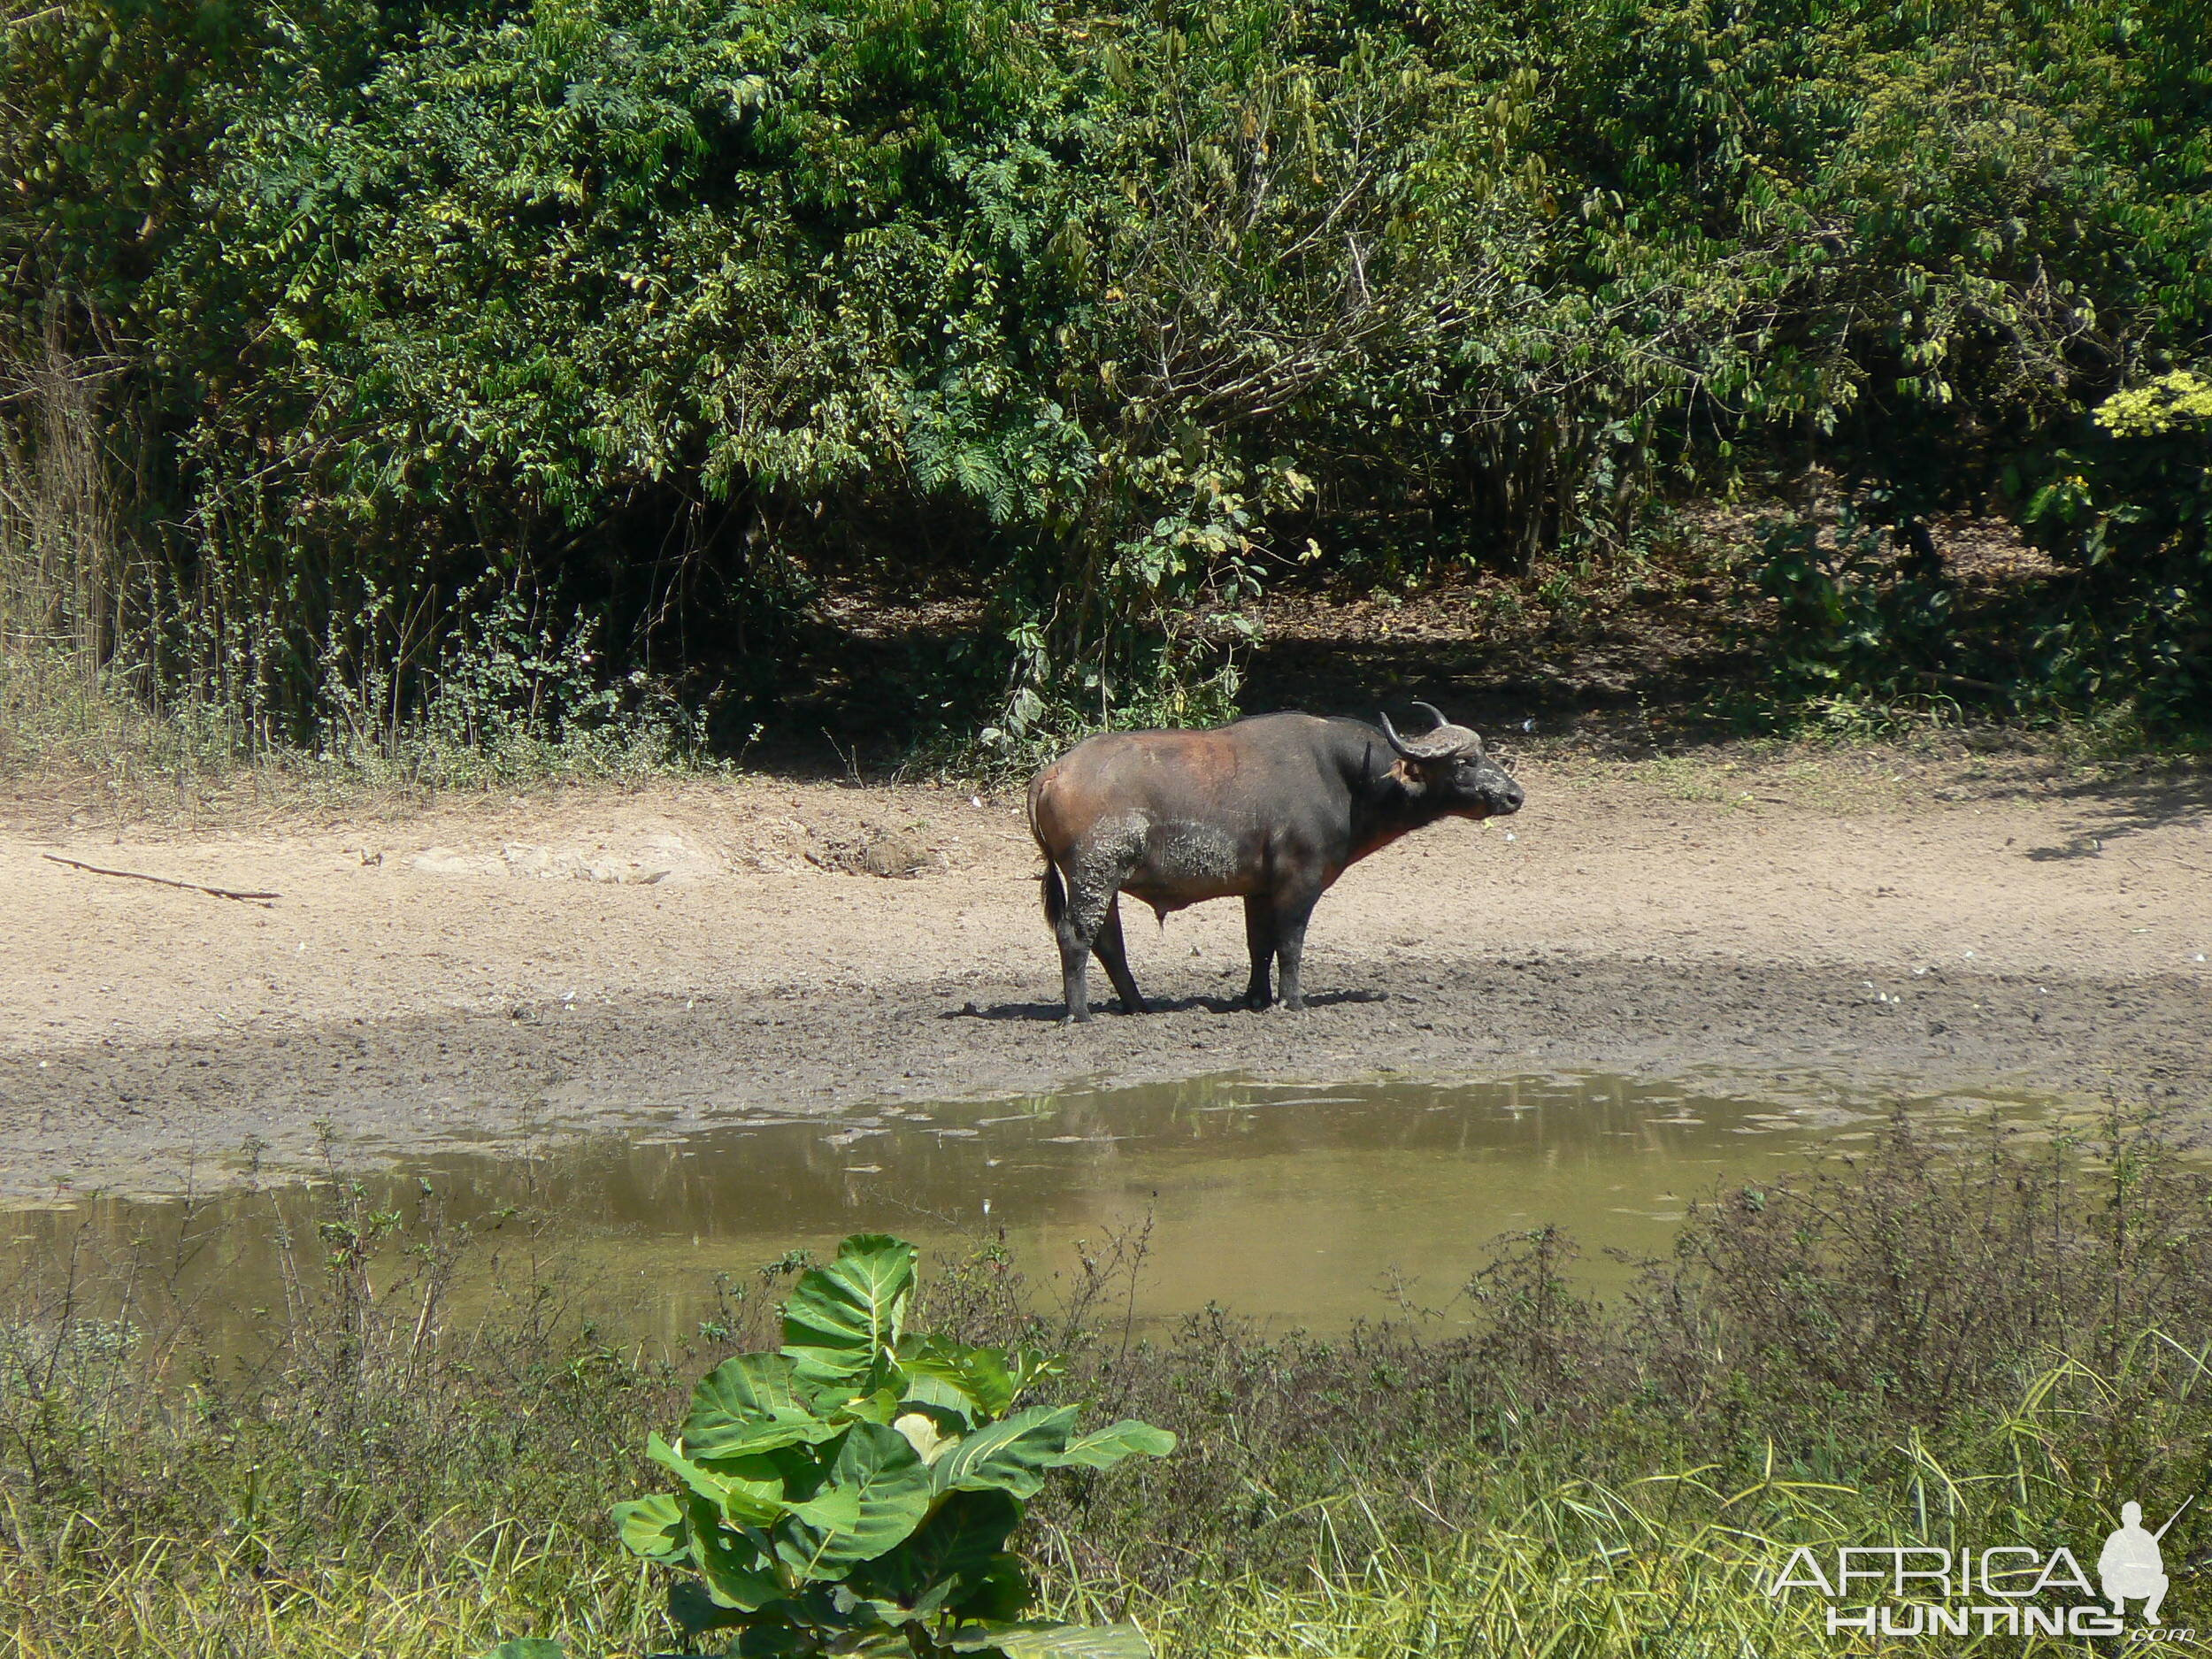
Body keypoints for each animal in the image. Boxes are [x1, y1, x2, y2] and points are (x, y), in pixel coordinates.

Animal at [1031, 699, 1522, 1022]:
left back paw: (1137, 1005)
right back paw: (1080, 1014)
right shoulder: (1299, 882)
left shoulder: (1258, 889)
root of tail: (1053, 772)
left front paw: (1257, 998)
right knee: (1075, 937)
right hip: (1094, 874)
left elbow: (1259, 945)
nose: (1515, 795)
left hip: (1102, 881)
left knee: (1108, 941)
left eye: (1482, 755)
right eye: (1465, 762)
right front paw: (1292, 1001)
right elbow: (1290, 944)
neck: (1345, 779)